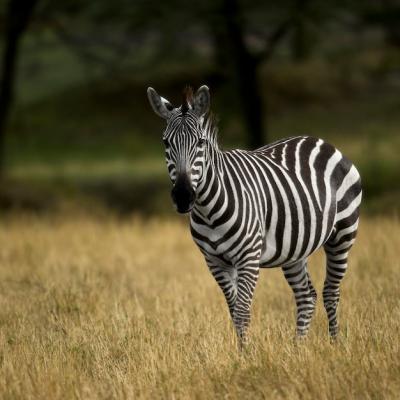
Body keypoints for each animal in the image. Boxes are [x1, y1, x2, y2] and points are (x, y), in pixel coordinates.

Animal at [147, 85, 362, 346]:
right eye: (165, 142)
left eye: (200, 142)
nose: (183, 196)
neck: (208, 211)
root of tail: (321, 141)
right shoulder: (214, 261)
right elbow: (233, 311)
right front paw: (241, 351)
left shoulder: (248, 258)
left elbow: (242, 311)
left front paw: (246, 354)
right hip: (294, 249)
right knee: (306, 295)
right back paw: (298, 347)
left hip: (343, 235)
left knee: (330, 291)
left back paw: (334, 345)